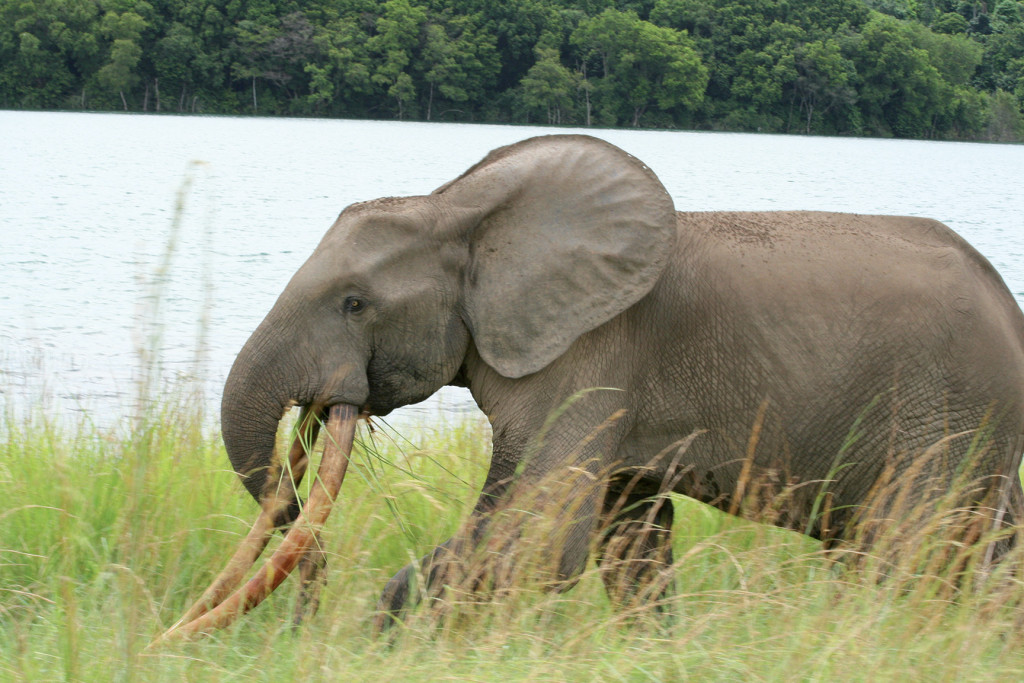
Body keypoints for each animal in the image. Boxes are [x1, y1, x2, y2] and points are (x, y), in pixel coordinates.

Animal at [155, 135, 1024, 643]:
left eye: (354, 303)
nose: (307, 614)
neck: (457, 207)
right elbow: (627, 538)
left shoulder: (590, 353)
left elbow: (540, 537)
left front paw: (382, 640)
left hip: (947, 414)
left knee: (904, 556)